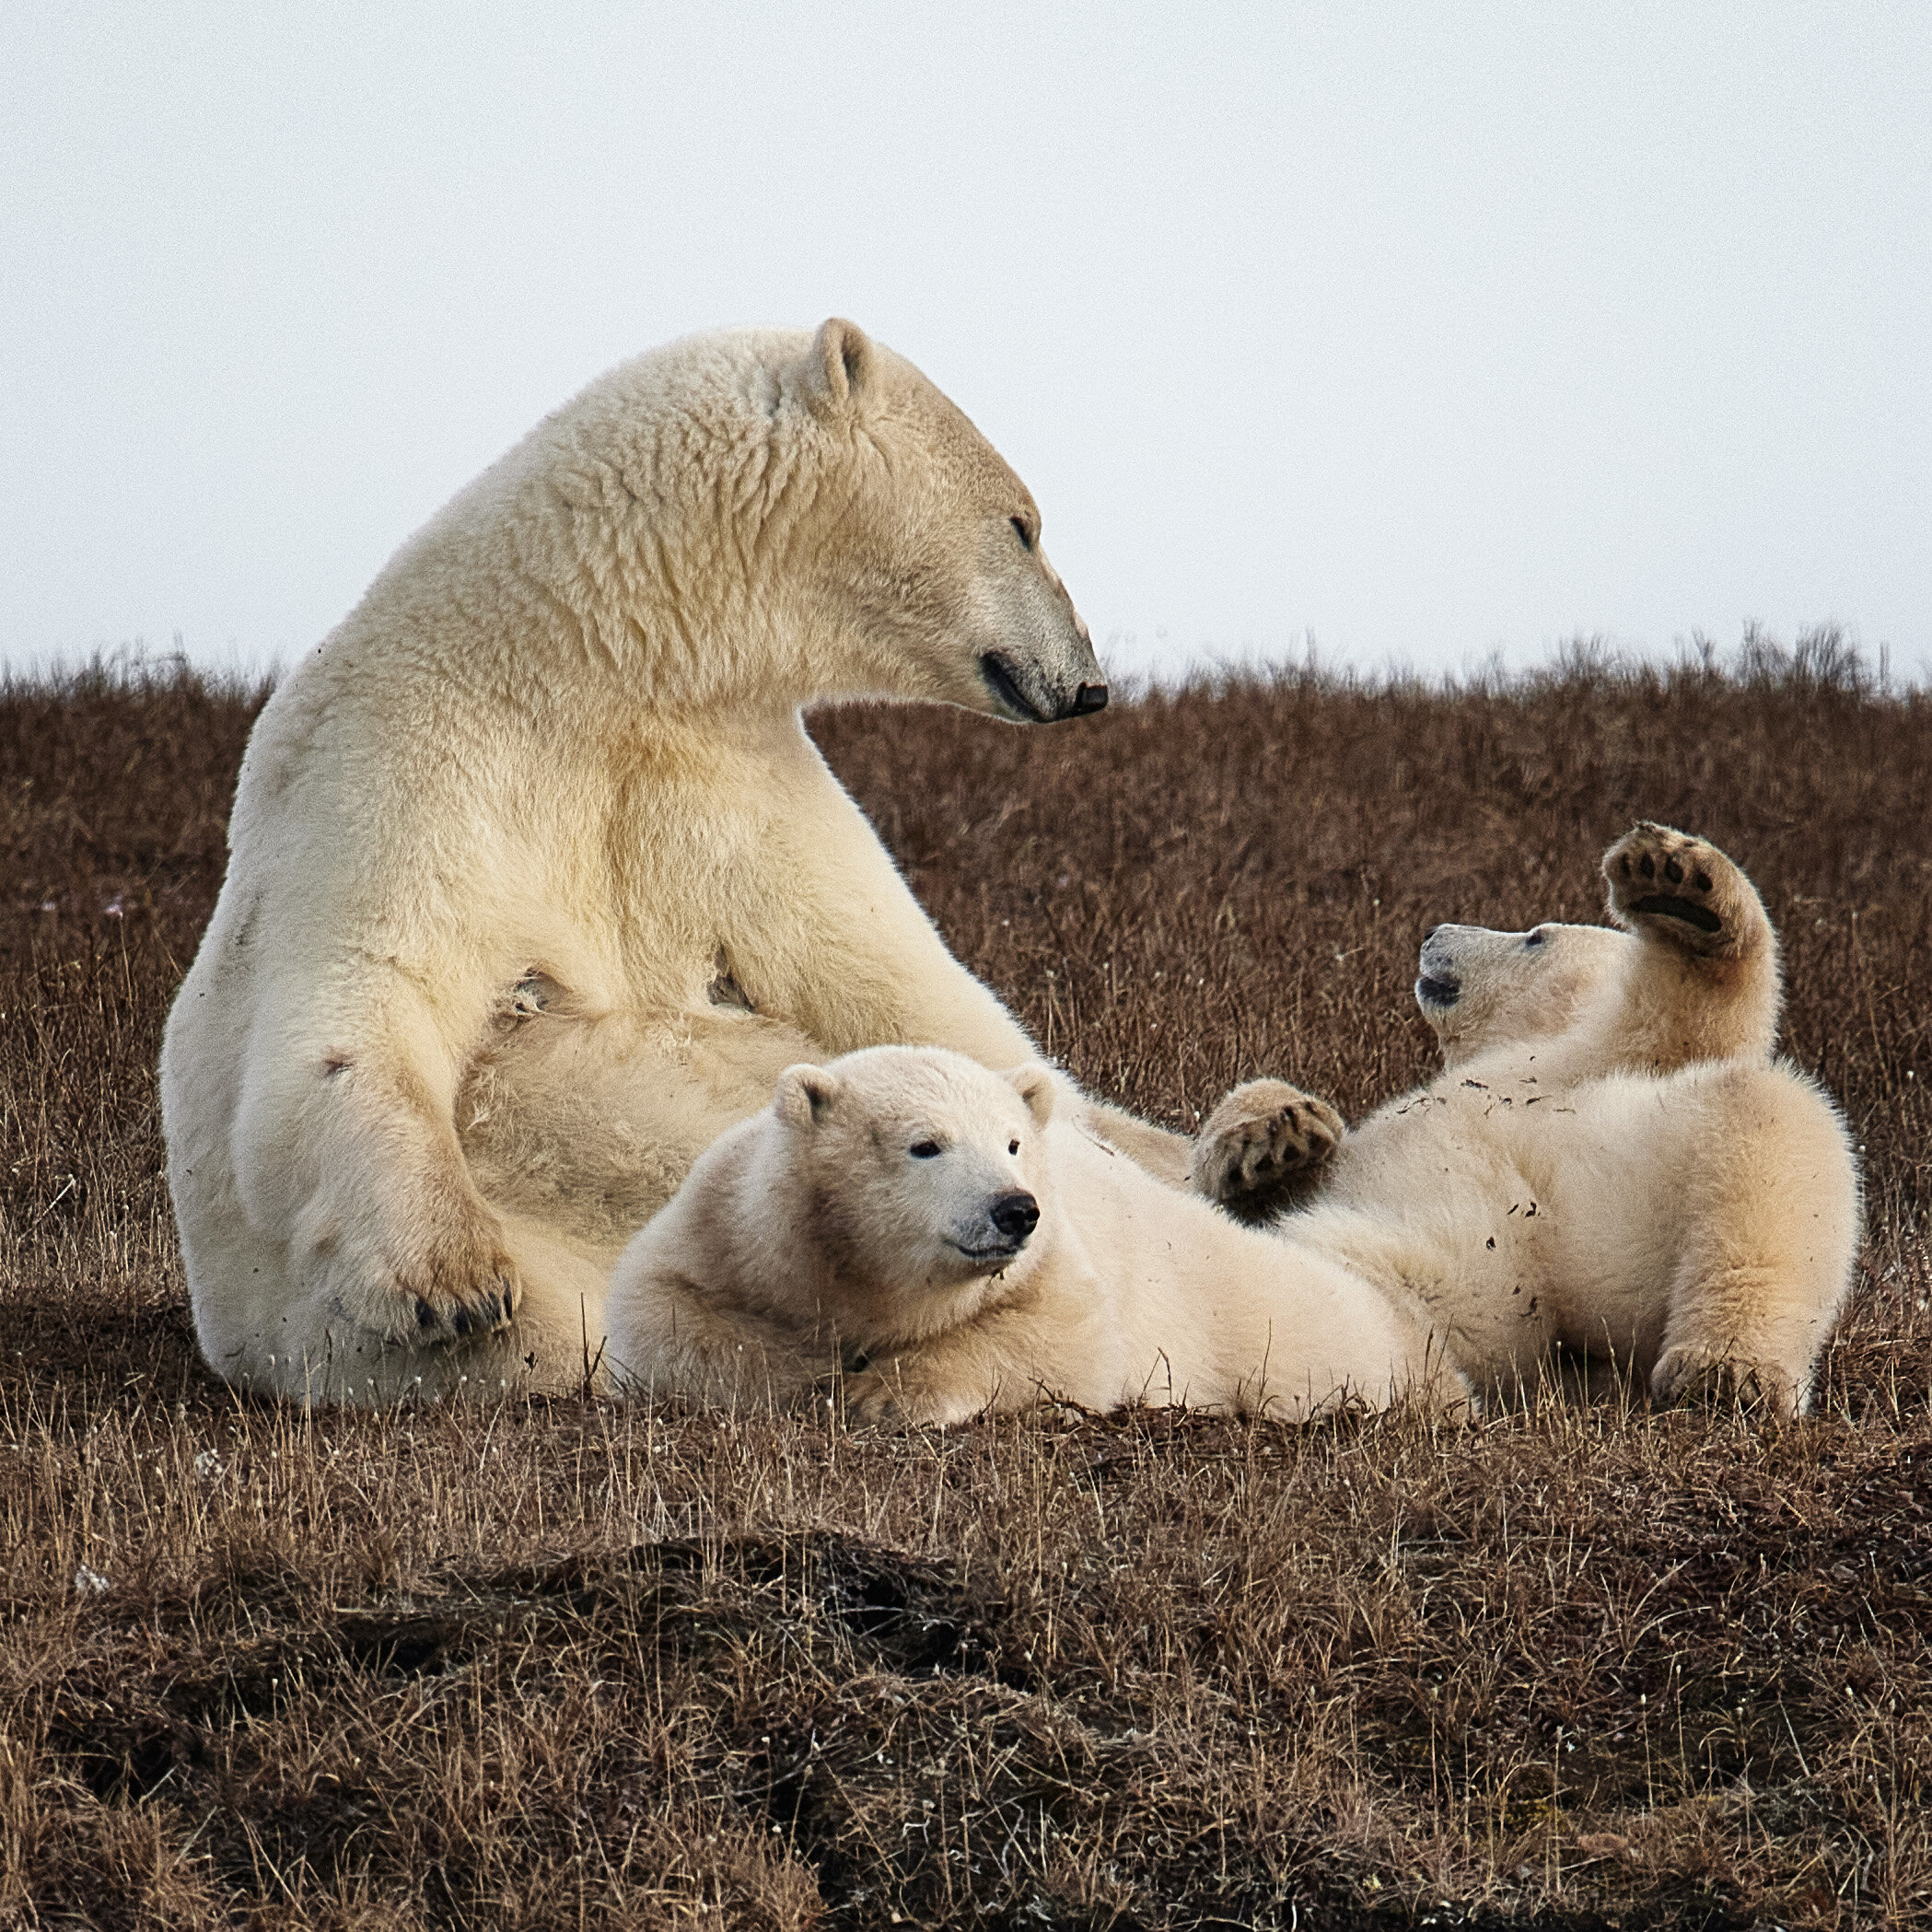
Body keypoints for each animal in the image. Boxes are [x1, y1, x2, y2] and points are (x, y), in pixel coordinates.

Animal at [158, 317, 1181, 1406]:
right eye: (1022, 523)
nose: (1090, 684)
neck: (586, 656)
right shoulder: (414, 768)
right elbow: (359, 1004)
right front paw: (454, 1278)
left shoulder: (720, 778)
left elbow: (897, 988)